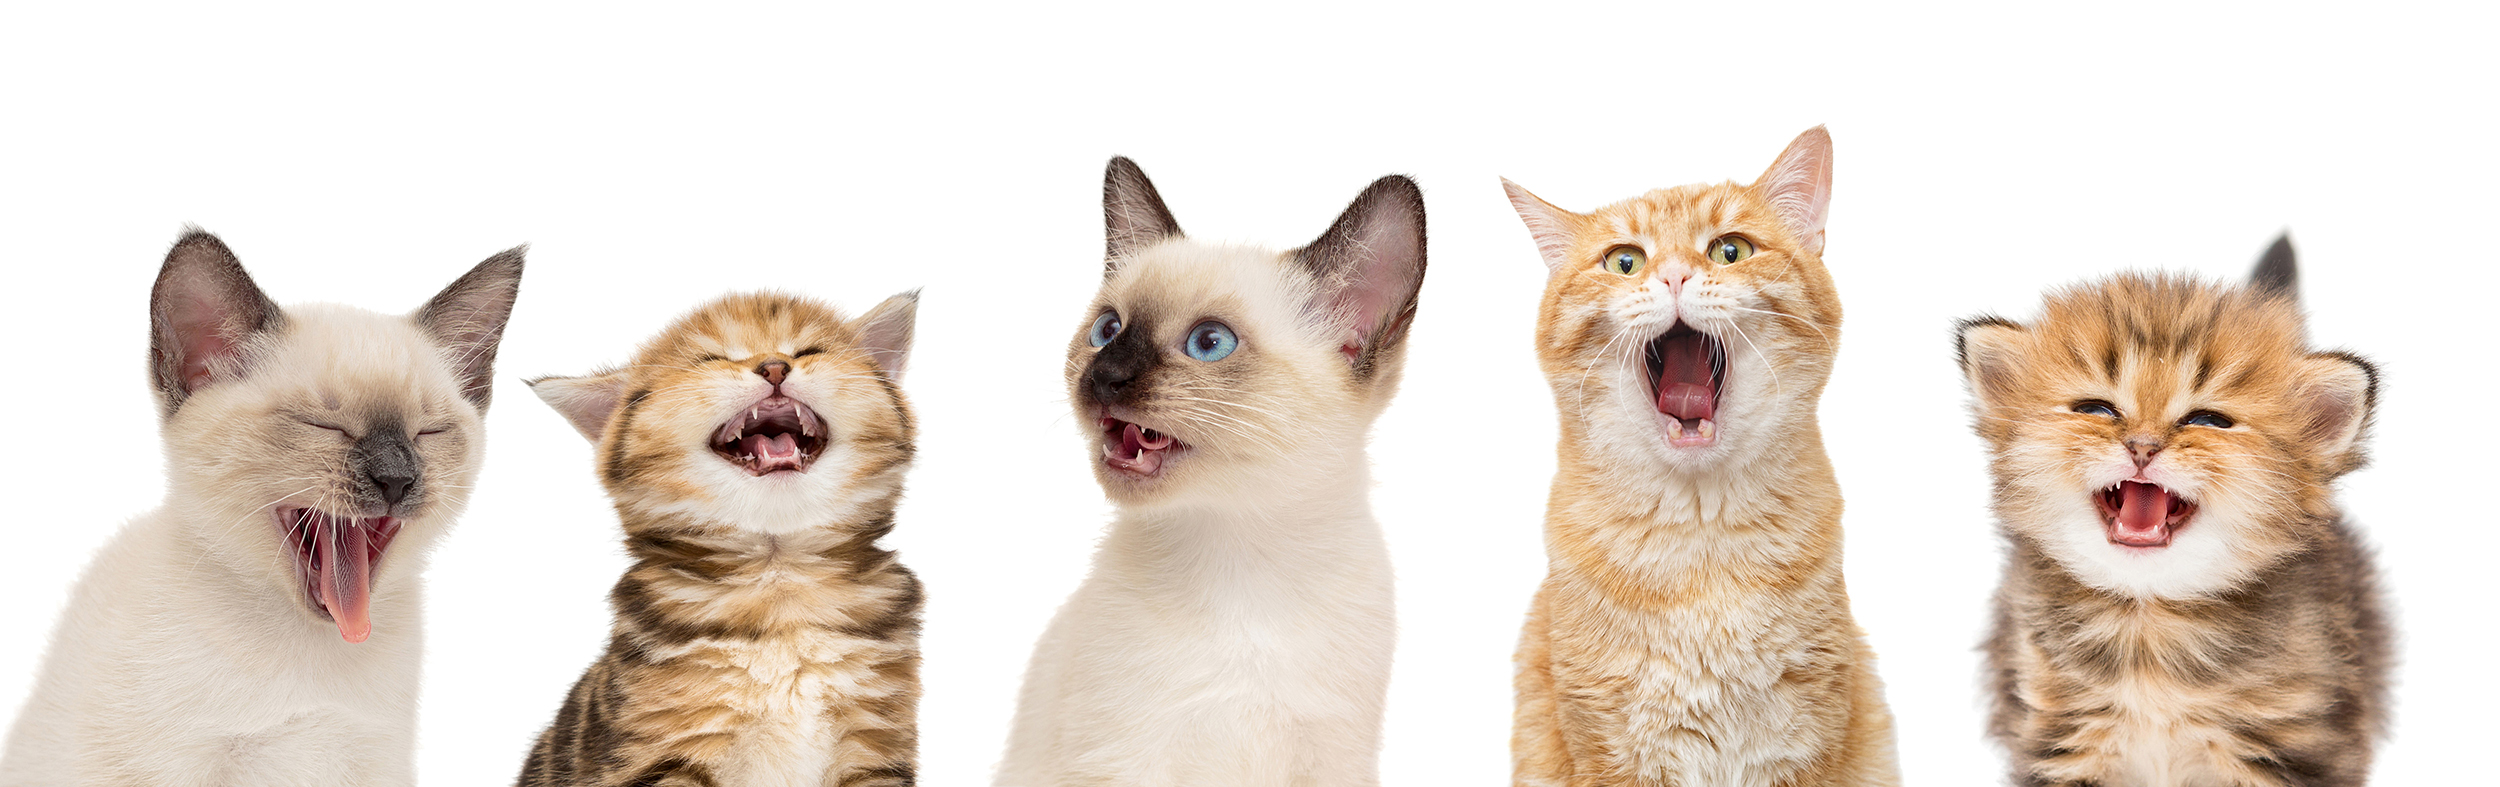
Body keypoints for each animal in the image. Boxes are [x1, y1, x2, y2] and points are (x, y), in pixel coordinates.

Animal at [520, 293, 930, 787]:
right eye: (710, 360)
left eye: (809, 350)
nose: (774, 367)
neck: (780, 582)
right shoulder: (665, 751)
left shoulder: (874, 746)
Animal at [995, 158, 1430, 787]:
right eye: (1107, 330)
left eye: (1209, 342)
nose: (1104, 376)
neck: (1239, 555)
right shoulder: (1120, 758)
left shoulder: (1335, 757)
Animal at [1490, 126, 1900, 784]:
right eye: (1625, 261)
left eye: (1730, 251)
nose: (1677, 276)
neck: (1699, 543)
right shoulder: (1612, 749)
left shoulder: (1803, 741)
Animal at [1960, 236, 2390, 787]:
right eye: (2096, 410)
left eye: (2207, 420)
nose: (2142, 446)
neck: (2150, 624)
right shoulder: (2059, 739)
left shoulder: (2286, 749)